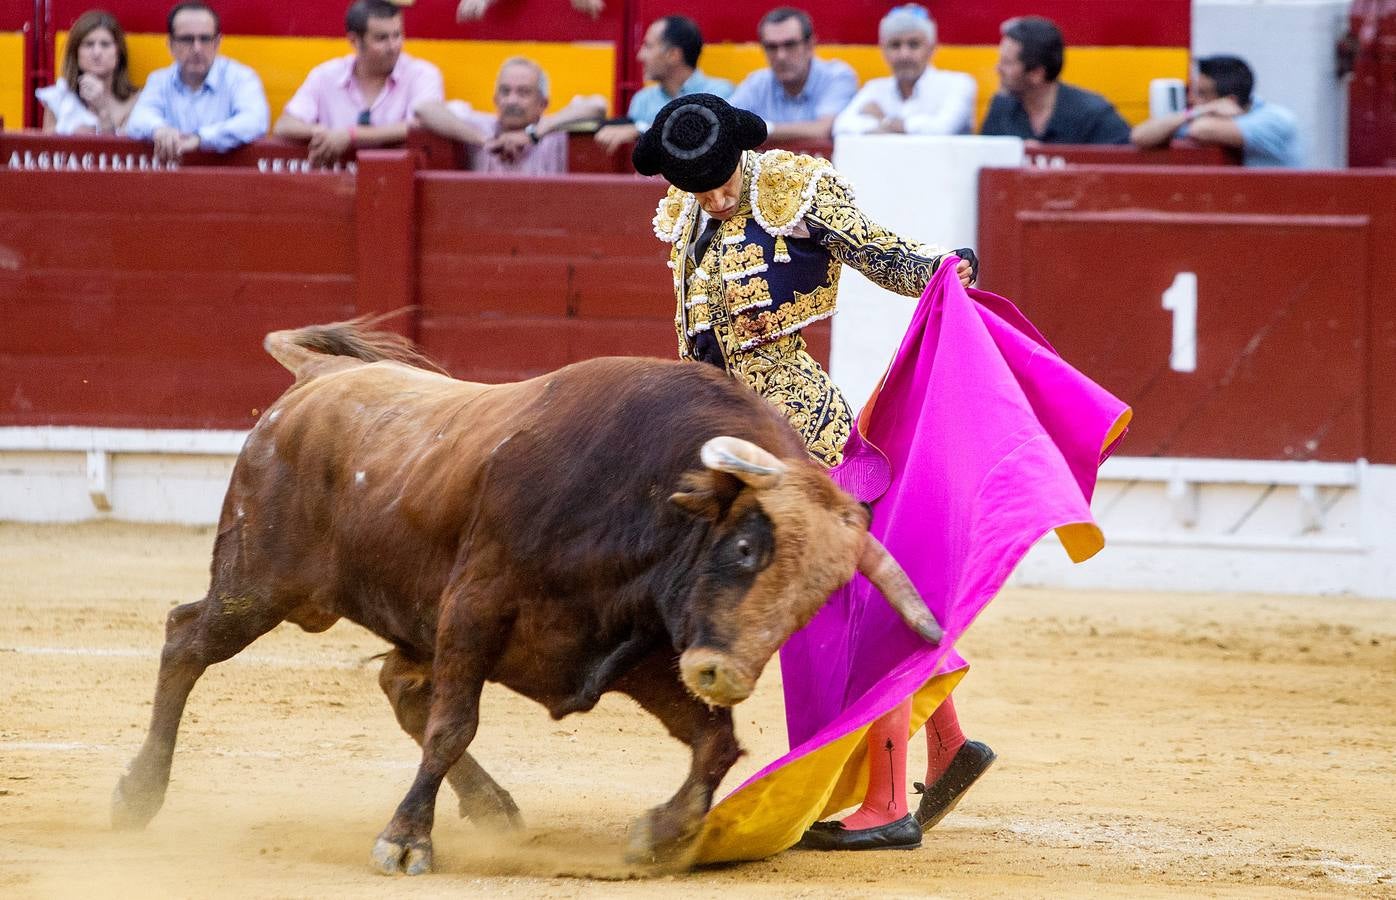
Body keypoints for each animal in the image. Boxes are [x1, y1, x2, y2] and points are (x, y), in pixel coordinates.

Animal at [108, 320, 938, 870]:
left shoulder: (624, 652)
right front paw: (404, 841)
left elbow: (716, 743)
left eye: (816, 597)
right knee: (186, 639)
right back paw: (138, 797)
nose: (722, 674)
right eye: (742, 548)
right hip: (257, 584)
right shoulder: (474, 608)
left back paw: (492, 807)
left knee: (399, 685)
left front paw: (660, 833)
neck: (641, 500)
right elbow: (454, 726)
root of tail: (314, 383)